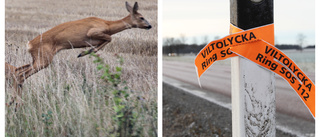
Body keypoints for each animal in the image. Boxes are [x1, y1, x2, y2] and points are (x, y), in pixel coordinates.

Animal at [13, 1, 151, 88]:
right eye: (141, 17)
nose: (150, 26)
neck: (108, 25)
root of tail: (29, 44)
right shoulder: (93, 32)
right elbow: (109, 38)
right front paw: (84, 53)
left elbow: (106, 41)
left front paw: (85, 52)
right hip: (44, 58)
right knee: (21, 74)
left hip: (38, 58)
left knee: (18, 70)